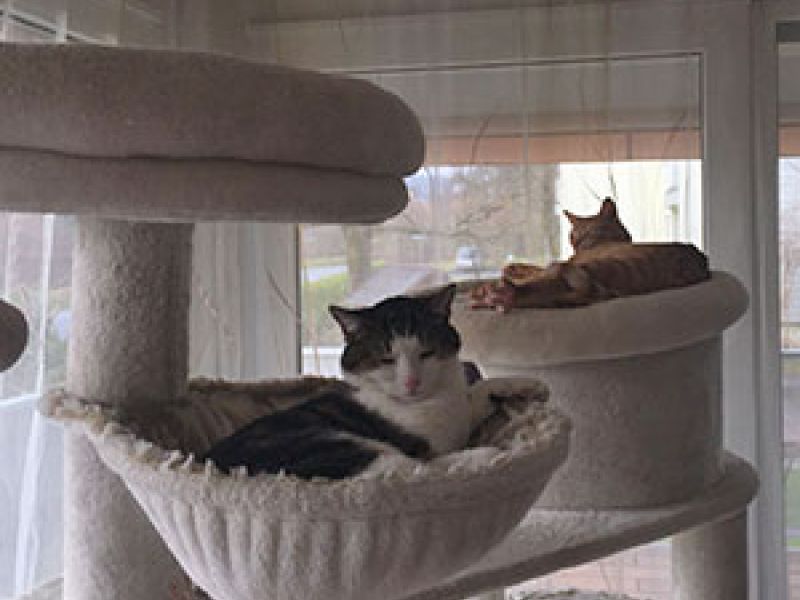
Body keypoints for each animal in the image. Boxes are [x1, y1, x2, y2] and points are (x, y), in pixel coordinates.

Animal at [202, 284, 487, 480]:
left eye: (427, 353)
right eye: (385, 359)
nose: (411, 382)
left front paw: (484, 396)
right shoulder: (429, 445)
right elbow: (439, 457)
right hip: (339, 448)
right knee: (420, 470)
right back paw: (480, 458)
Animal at [471, 198, 710, 311]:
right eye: (571, 237)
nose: (575, 244)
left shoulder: (562, 262)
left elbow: (530, 268)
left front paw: (513, 267)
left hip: (560, 272)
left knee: (531, 288)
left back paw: (494, 294)